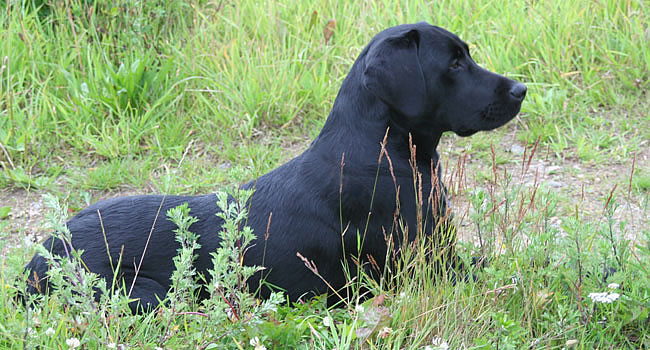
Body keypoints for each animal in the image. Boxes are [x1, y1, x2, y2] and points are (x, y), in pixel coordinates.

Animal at [25, 21, 524, 312]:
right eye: (454, 63)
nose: (521, 89)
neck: (386, 157)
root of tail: (38, 257)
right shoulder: (422, 273)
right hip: (145, 294)